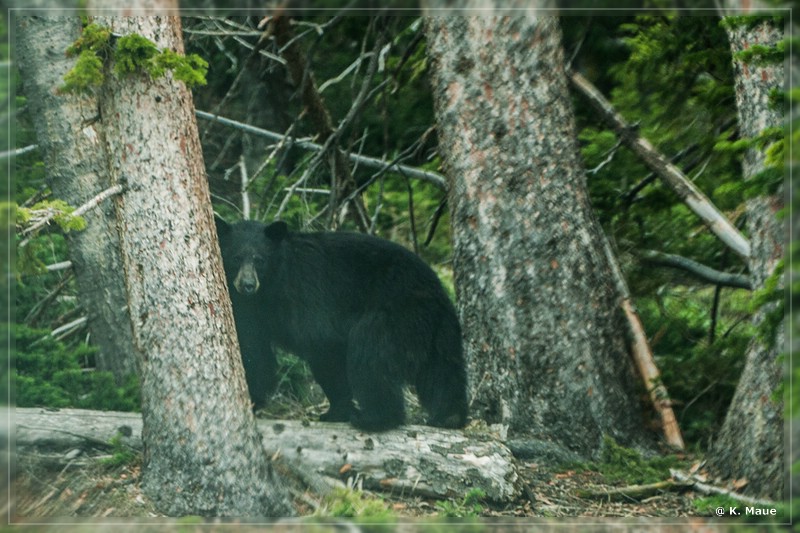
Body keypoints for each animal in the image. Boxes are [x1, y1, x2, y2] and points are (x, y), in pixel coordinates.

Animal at [214, 218, 468, 430]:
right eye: (235, 258)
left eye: (259, 260)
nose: (247, 285)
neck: (270, 287)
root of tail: (437, 290)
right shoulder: (250, 311)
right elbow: (254, 352)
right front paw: (252, 399)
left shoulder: (305, 295)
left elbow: (322, 343)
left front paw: (337, 411)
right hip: (437, 333)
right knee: (443, 371)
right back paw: (449, 417)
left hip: (396, 314)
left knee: (370, 354)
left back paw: (375, 418)